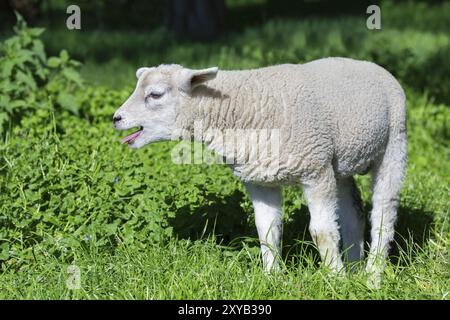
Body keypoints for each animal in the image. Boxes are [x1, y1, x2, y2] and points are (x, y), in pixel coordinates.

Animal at [113, 58, 408, 284]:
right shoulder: (260, 179)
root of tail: (371, 65)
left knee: (384, 212)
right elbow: (266, 229)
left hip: (395, 142)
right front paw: (272, 278)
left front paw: (335, 279)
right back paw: (355, 267)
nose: (116, 118)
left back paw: (373, 273)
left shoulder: (315, 169)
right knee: (353, 214)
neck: (244, 107)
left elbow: (322, 231)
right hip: (340, 163)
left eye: (155, 94)